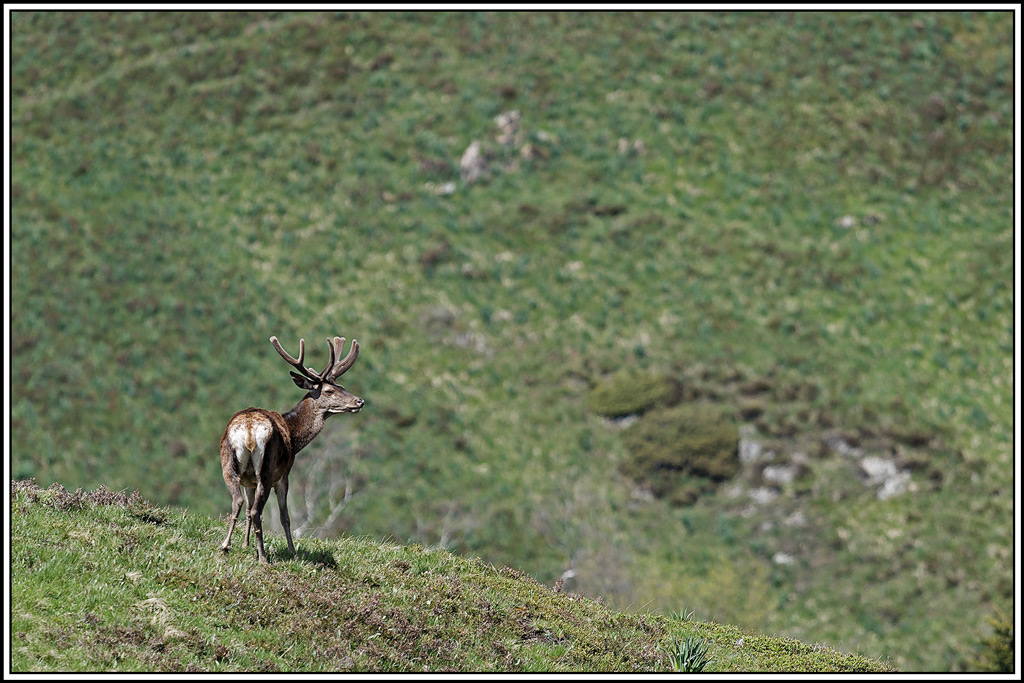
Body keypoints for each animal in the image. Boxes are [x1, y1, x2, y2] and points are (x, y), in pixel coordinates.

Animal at [220, 334, 363, 563]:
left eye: (341, 385)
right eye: (329, 390)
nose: (360, 401)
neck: (295, 438)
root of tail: (250, 430)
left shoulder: (249, 480)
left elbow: (247, 508)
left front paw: (245, 544)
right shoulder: (284, 474)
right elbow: (284, 516)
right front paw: (293, 551)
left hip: (228, 463)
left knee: (239, 502)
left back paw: (225, 545)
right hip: (267, 469)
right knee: (257, 511)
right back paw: (263, 556)